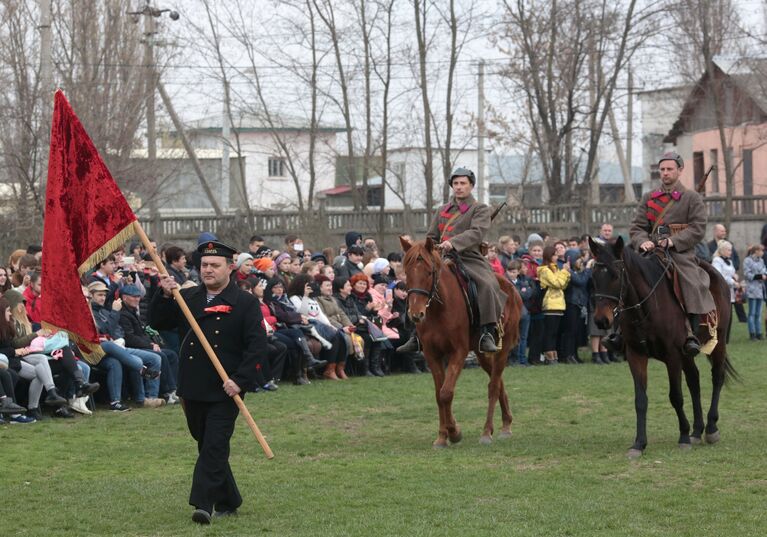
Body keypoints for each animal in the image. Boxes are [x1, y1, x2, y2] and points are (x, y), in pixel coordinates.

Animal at [402, 237, 520, 446]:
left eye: (429, 272)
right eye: (407, 272)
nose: (416, 314)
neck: (439, 309)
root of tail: (511, 287)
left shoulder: (459, 352)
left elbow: (446, 393)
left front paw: (454, 432)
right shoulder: (432, 354)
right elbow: (439, 394)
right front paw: (442, 436)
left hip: (503, 349)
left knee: (493, 386)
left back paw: (487, 432)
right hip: (481, 353)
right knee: (498, 381)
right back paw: (506, 423)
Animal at [588, 237, 736, 458]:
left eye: (615, 275)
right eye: (594, 276)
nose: (601, 320)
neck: (645, 307)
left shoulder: (672, 356)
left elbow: (676, 396)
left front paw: (683, 437)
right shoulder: (636, 355)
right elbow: (640, 400)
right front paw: (639, 443)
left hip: (718, 343)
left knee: (717, 377)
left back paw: (710, 428)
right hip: (687, 354)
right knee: (694, 381)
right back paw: (697, 430)